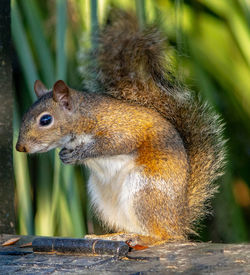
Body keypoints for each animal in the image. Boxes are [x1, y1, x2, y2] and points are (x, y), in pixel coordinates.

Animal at [16, 10, 227, 246]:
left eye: (45, 120)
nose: (20, 147)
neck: (83, 118)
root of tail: (178, 220)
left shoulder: (118, 128)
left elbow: (116, 143)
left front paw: (80, 153)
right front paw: (64, 155)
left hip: (144, 190)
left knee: (164, 236)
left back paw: (145, 239)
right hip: (106, 200)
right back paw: (114, 235)